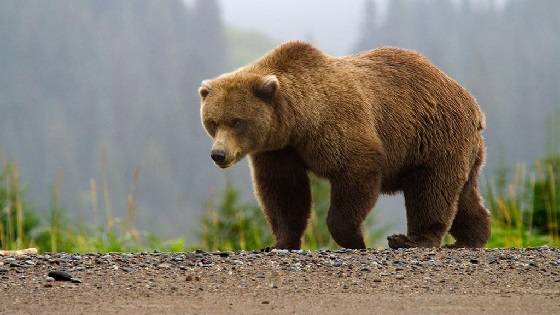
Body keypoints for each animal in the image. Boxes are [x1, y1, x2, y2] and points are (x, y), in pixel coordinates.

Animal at [199, 41, 492, 249]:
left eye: (237, 121)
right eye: (212, 122)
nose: (218, 154)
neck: (298, 121)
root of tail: (473, 104)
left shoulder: (336, 125)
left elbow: (356, 170)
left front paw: (355, 239)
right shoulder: (279, 149)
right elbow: (284, 191)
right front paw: (280, 242)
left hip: (433, 137)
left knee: (431, 189)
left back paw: (411, 240)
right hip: (462, 149)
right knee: (463, 193)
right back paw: (472, 237)